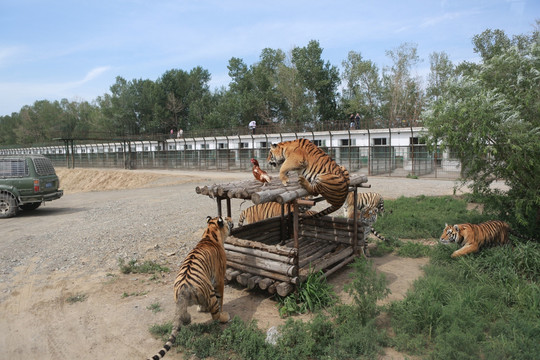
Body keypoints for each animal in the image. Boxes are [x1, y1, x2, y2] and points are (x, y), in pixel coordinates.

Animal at [148, 217, 232, 360]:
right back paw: (224, 317)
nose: (230, 222)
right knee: (215, 315)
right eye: (226, 221)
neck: (209, 234)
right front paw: (221, 310)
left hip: (179, 299)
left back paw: (188, 318)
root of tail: (183, 288)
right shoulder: (219, 280)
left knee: (183, 314)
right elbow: (220, 298)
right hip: (210, 293)